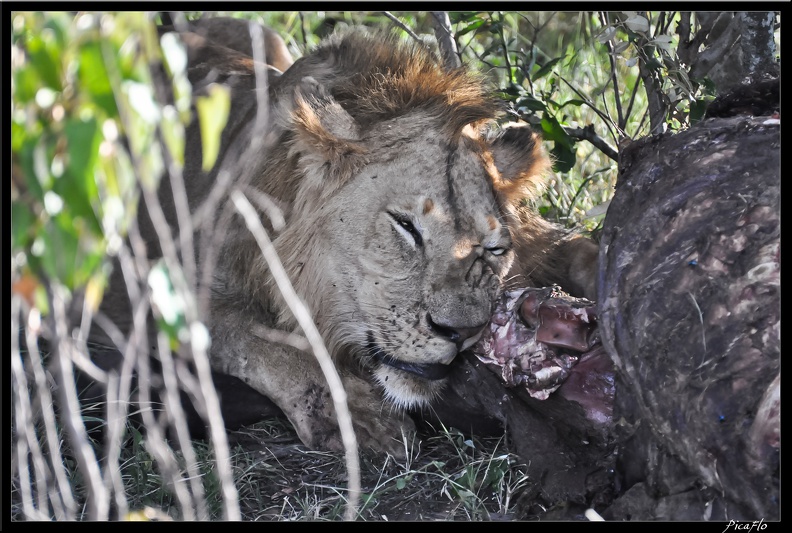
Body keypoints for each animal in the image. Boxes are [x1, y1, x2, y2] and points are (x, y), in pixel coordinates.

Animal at [93, 18, 596, 456]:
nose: (462, 333)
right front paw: (356, 415)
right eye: (406, 227)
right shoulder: (150, 287)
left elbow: (570, 249)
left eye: (494, 250)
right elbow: (255, 336)